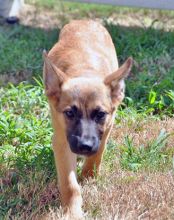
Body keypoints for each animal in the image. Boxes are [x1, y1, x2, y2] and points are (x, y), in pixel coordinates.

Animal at [42, 20, 133, 218]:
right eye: (69, 113)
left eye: (100, 114)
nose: (84, 146)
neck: (84, 72)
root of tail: (83, 21)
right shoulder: (62, 140)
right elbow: (70, 184)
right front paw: (73, 212)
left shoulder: (107, 127)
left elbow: (98, 153)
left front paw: (89, 176)